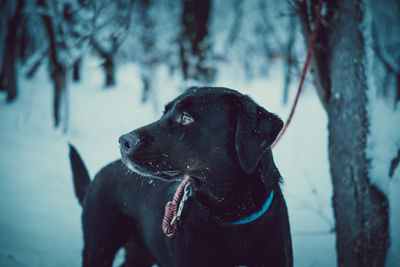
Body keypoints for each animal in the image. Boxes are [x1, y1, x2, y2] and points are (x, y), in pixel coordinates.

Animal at [70, 87, 292, 266]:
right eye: (164, 113)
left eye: (185, 118)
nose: (123, 141)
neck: (232, 213)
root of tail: (98, 175)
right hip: (99, 247)